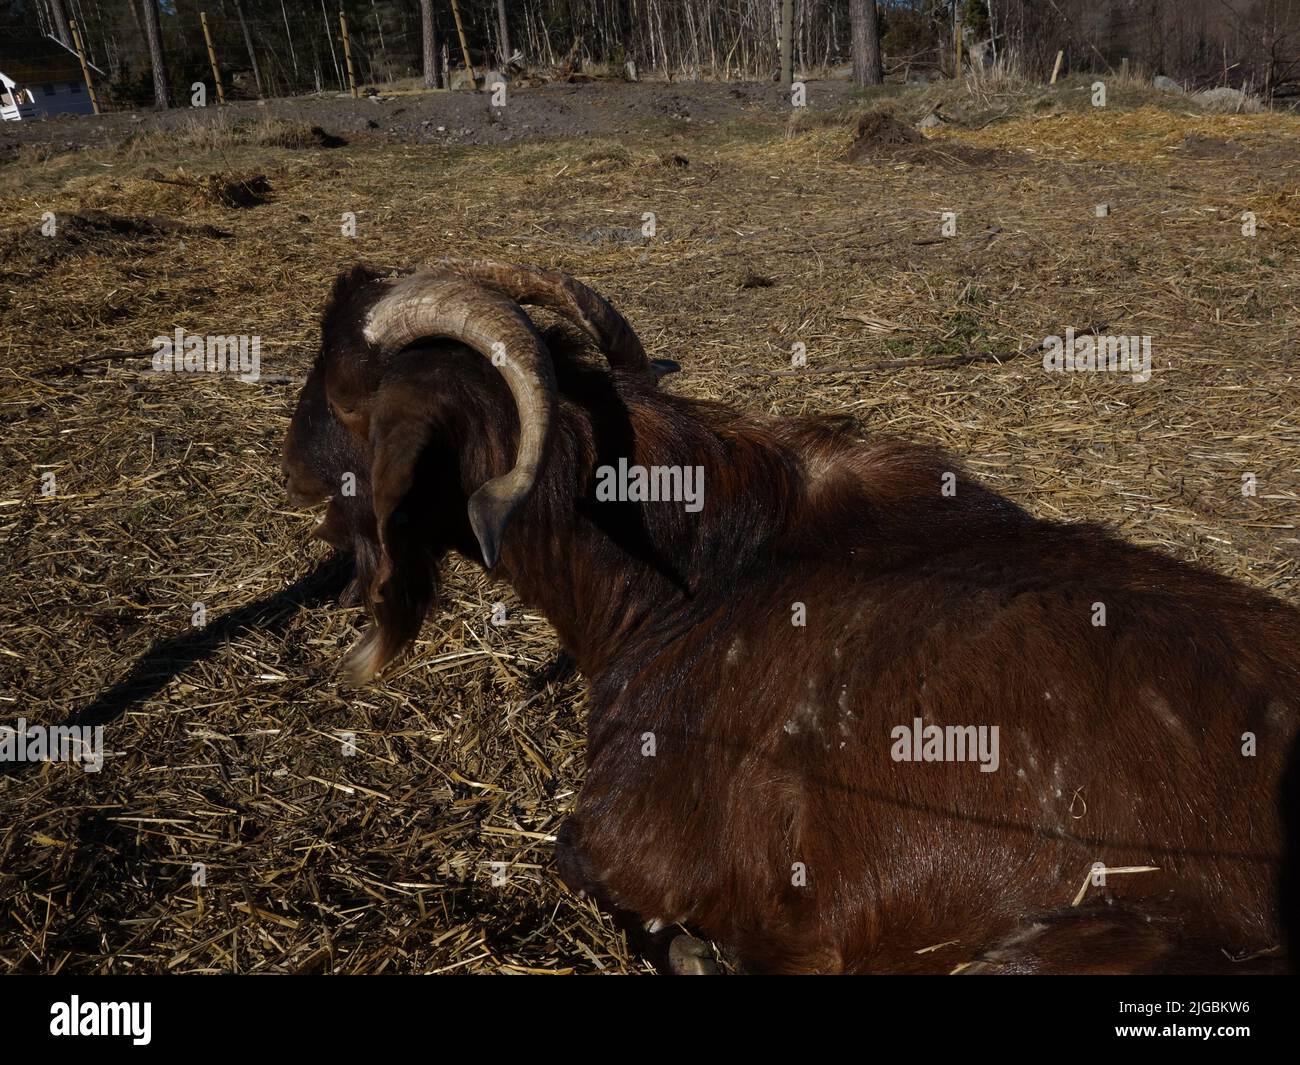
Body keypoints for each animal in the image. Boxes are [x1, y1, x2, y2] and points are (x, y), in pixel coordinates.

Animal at [284, 263, 1300, 972]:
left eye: (339, 393)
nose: (291, 469)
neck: (695, 573)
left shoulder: (633, 837)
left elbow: (580, 864)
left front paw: (699, 949)